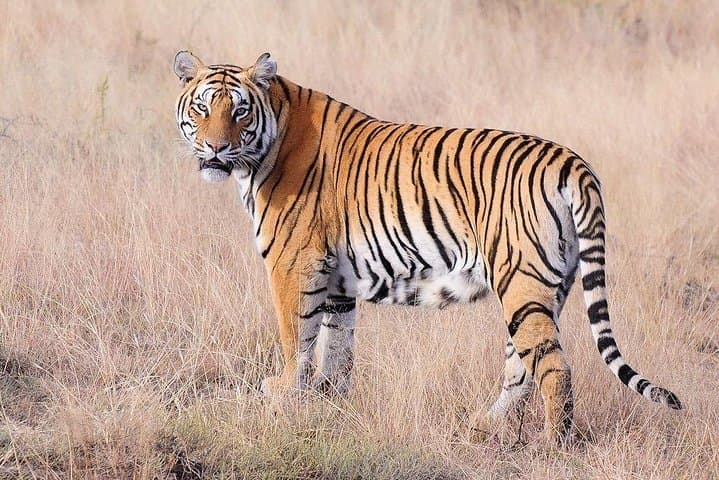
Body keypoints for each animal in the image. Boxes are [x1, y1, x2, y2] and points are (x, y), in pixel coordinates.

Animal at [172, 50, 681, 445]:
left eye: (239, 112)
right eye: (202, 109)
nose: (215, 149)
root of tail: (572, 161)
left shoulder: (293, 264)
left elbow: (295, 336)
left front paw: (282, 396)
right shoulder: (336, 280)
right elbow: (336, 350)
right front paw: (329, 408)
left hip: (521, 281)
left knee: (554, 367)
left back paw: (555, 445)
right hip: (547, 286)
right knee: (522, 366)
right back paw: (484, 426)